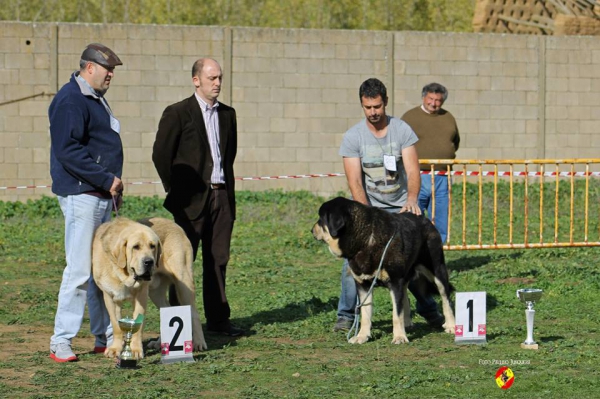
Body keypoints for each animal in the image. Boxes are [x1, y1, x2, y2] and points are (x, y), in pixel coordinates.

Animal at [314, 198, 454, 346]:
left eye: (321, 219)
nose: (312, 230)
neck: (366, 239)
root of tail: (425, 219)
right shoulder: (363, 285)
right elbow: (365, 314)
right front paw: (362, 336)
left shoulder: (395, 282)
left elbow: (396, 314)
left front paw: (399, 337)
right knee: (405, 297)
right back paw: (407, 323)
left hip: (437, 270)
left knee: (446, 298)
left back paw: (450, 325)